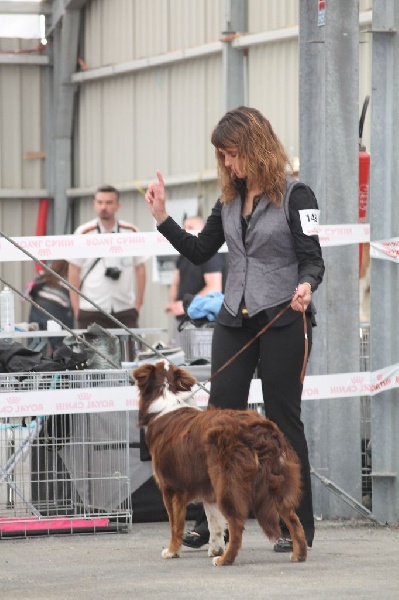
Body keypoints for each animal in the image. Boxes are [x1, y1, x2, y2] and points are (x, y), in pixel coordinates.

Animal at [134, 360, 310, 568]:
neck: (167, 396)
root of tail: (259, 429)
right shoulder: (208, 486)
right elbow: (214, 522)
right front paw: (215, 547)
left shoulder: (171, 487)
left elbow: (175, 525)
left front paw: (172, 551)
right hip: (273, 483)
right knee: (294, 519)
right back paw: (299, 554)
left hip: (228, 481)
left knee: (237, 524)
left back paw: (225, 559)